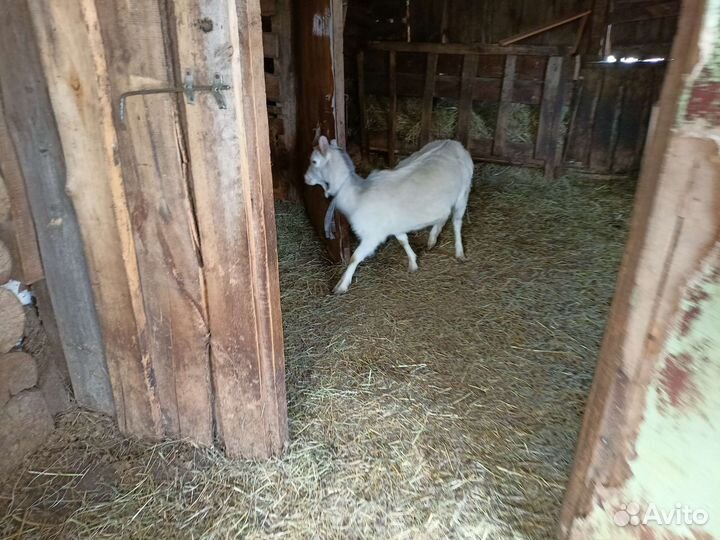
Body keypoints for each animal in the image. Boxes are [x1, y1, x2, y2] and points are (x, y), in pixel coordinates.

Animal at [304, 136, 473, 294]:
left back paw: (459, 252)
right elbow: (403, 240)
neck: (357, 196)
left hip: (463, 192)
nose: (305, 178)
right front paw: (413, 263)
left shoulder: (373, 235)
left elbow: (355, 257)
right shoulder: (393, 225)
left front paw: (341, 285)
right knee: (444, 215)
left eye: (314, 161)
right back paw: (432, 239)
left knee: (456, 221)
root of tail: (453, 143)